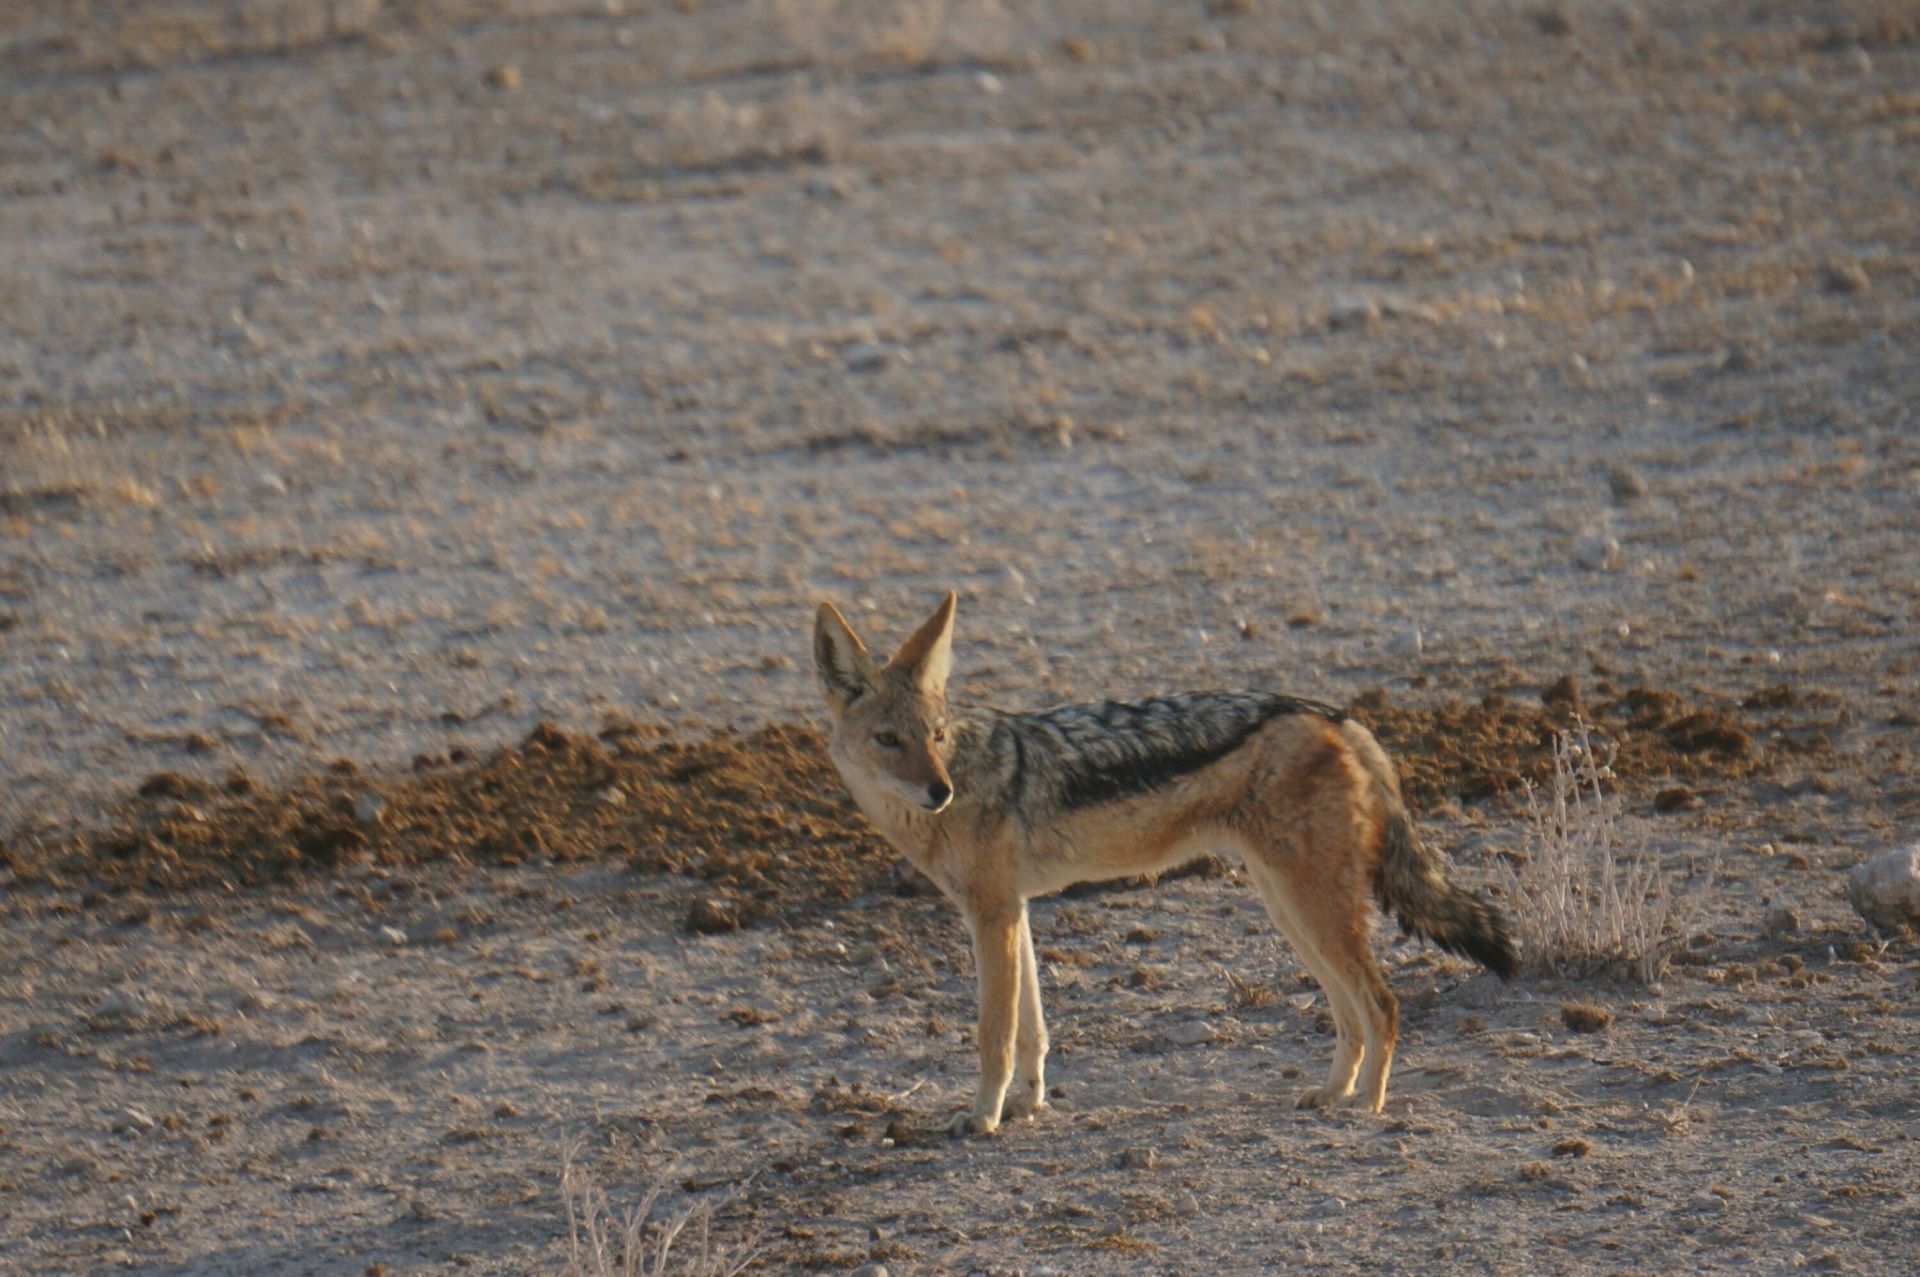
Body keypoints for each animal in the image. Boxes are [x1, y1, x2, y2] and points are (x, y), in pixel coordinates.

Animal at [812, 591, 1517, 1136]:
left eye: (934, 737)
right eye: (888, 740)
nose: (940, 790)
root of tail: (1334, 714)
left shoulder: (992, 915)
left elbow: (994, 1033)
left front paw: (982, 1117)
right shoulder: (1014, 911)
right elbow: (1031, 1031)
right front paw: (1025, 1107)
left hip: (1311, 908)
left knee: (1383, 1003)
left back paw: (1366, 1105)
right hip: (1289, 908)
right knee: (1351, 1011)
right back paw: (1334, 1093)